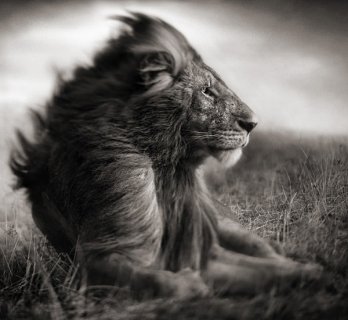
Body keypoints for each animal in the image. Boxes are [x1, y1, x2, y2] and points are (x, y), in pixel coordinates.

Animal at [10, 12, 320, 298]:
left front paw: (310, 272)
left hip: (227, 226)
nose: (253, 124)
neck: (167, 168)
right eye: (207, 91)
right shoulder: (96, 260)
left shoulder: (202, 249)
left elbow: (268, 269)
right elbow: (155, 280)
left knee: (263, 248)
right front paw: (190, 284)